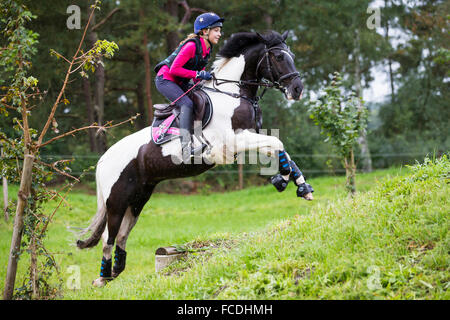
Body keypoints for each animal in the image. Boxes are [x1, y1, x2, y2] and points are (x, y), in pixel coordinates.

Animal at [77, 31, 314, 288]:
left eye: (291, 55)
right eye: (279, 57)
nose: (297, 89)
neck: (233, 94)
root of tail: (103, 160)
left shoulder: (248, 138)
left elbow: (281, 150)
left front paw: (300, 186)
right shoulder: (233, 142)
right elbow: (278, 144)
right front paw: (283, 179)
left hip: (139, 197)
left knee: (122, 234)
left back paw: (115, 271)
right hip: (117, 201)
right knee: (108, 236)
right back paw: (102, 277)